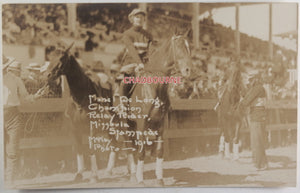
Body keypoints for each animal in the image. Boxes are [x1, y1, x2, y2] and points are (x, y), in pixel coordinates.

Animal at [46, 44, 113, 182]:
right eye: (50, 57)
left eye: (62, 58)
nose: (48, 75)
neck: (82, 95)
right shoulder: (75, 128)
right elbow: (79, 149)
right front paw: (79, 173)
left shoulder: (93, 127)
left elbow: (91, 149)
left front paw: (94, 175)